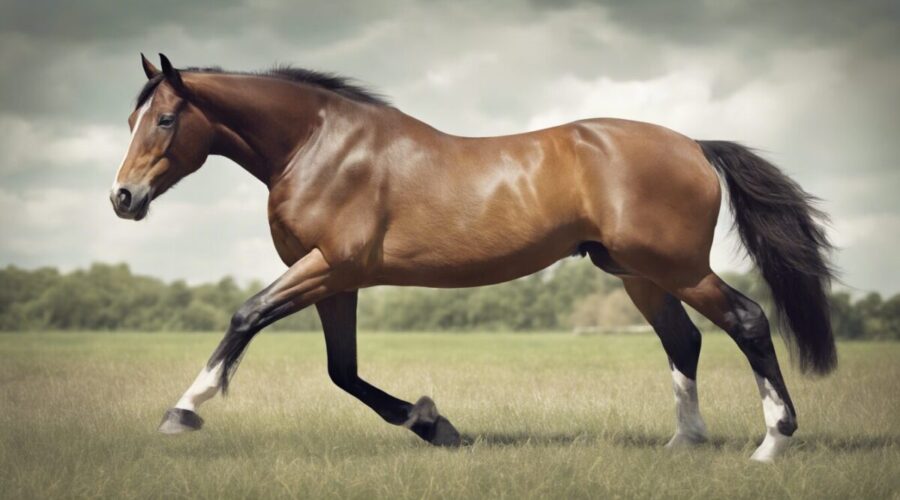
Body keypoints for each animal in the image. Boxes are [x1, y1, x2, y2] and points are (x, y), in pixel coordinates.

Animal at [111, 54, 836, 462]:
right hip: (638, 274)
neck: (319, 146)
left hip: (677, 268)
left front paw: (183, 412)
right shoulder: (337, 283)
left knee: (746, 322)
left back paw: (772, 443)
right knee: (683, 341)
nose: (123, 197)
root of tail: (692, 145)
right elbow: (343, 372)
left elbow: (245, 317)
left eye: (167, 120)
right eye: (131, 120)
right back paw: (685, 442)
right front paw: (435, 425)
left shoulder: (330, 267)